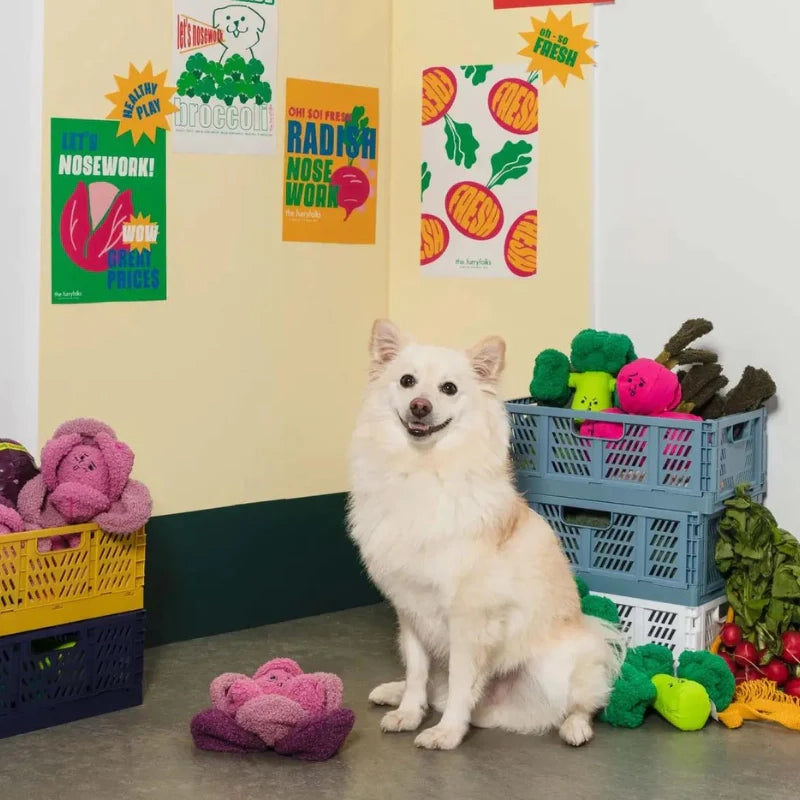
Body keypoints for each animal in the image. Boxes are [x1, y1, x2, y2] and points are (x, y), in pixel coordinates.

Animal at [346, 320, 620, 752]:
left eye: (449, 388)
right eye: (407, 381)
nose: (420, 406)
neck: (422, 469)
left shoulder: (469, 620)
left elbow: (460, 681)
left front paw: (447, 732)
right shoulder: (410, 610)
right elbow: (418, 670)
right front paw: (408, 712)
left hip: (560, 667)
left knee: (583, 703)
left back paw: (575, 728)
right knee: (431, 686)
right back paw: (394, 691)